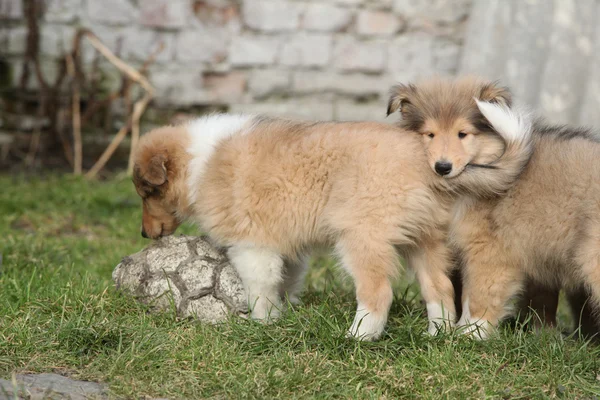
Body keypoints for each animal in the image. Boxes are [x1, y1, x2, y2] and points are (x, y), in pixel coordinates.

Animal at [131, 101, 528, 340]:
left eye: (147, 192)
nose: (145, 234)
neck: (199, 162)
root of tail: (433, 163)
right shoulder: (287, 246)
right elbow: (284, 281)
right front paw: (283, 316)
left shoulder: (251, 242)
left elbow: (259, 287)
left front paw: (261, 323)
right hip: (425, 238)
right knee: (440, 289)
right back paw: (437, 335)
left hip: (362, 236)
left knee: (377, 292)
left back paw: (358, 337)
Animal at [386, 77, 600, 338]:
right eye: (430, 134)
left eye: (462, 134)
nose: (442, 167)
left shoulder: (491, 252)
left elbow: (479, 295)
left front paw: (469, 334)